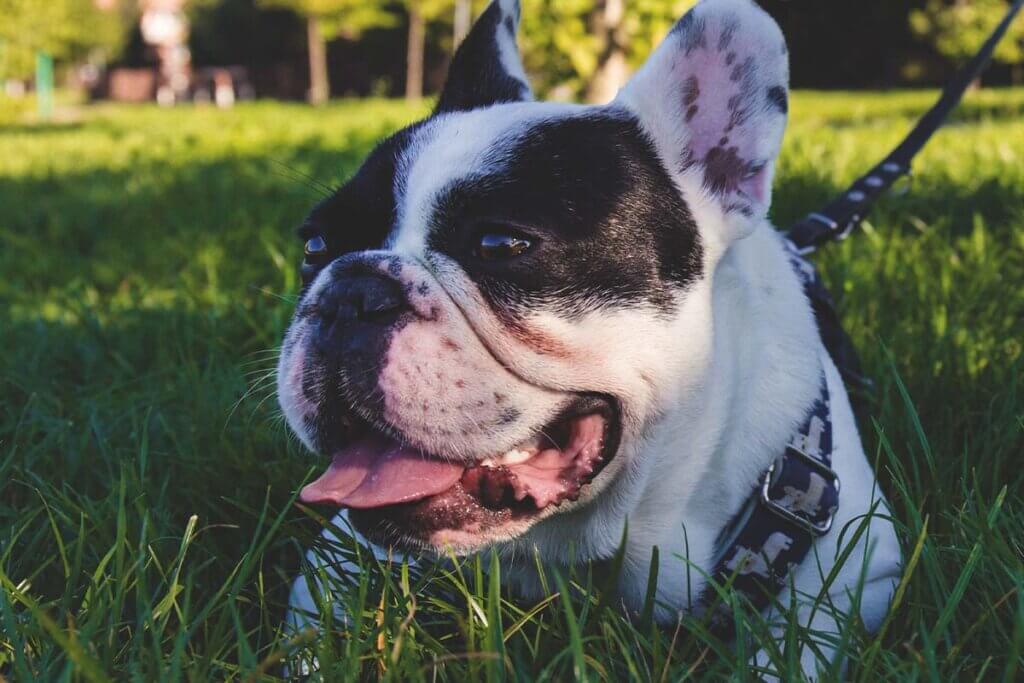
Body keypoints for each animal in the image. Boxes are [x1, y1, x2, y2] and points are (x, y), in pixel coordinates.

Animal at [276, 0, 901, 671]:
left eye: (501, 244)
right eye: (314, 247)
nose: (350, 292)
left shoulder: (857, 576)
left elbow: (791, 652)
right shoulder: (336, 555)